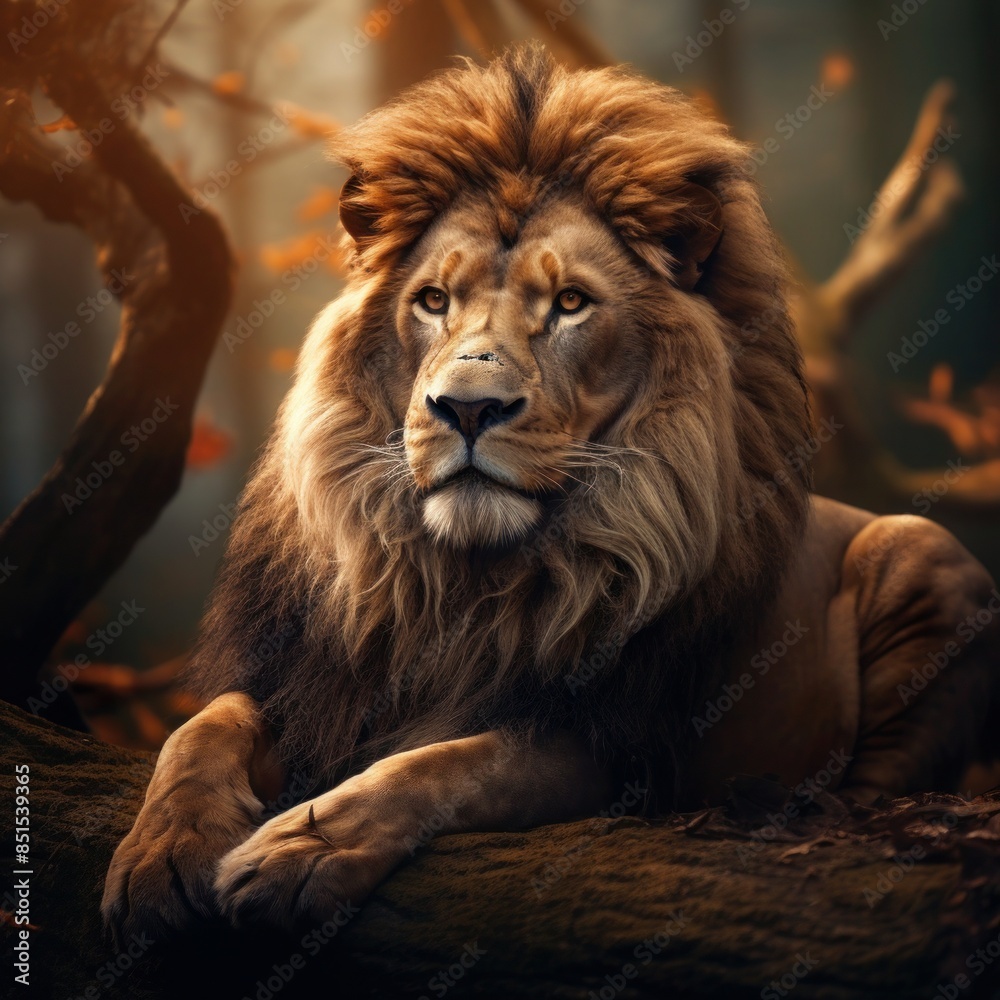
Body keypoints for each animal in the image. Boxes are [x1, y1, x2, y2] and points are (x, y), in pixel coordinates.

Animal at [103, 45, 1000, 937]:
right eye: (433, 301)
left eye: (570, 303)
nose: (467, 408)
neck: (453, 584)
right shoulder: (299, 682)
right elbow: (202, 728)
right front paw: (162, 854)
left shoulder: (603, 748)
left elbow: (447, 764)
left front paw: (303, 850)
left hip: (922, 551)